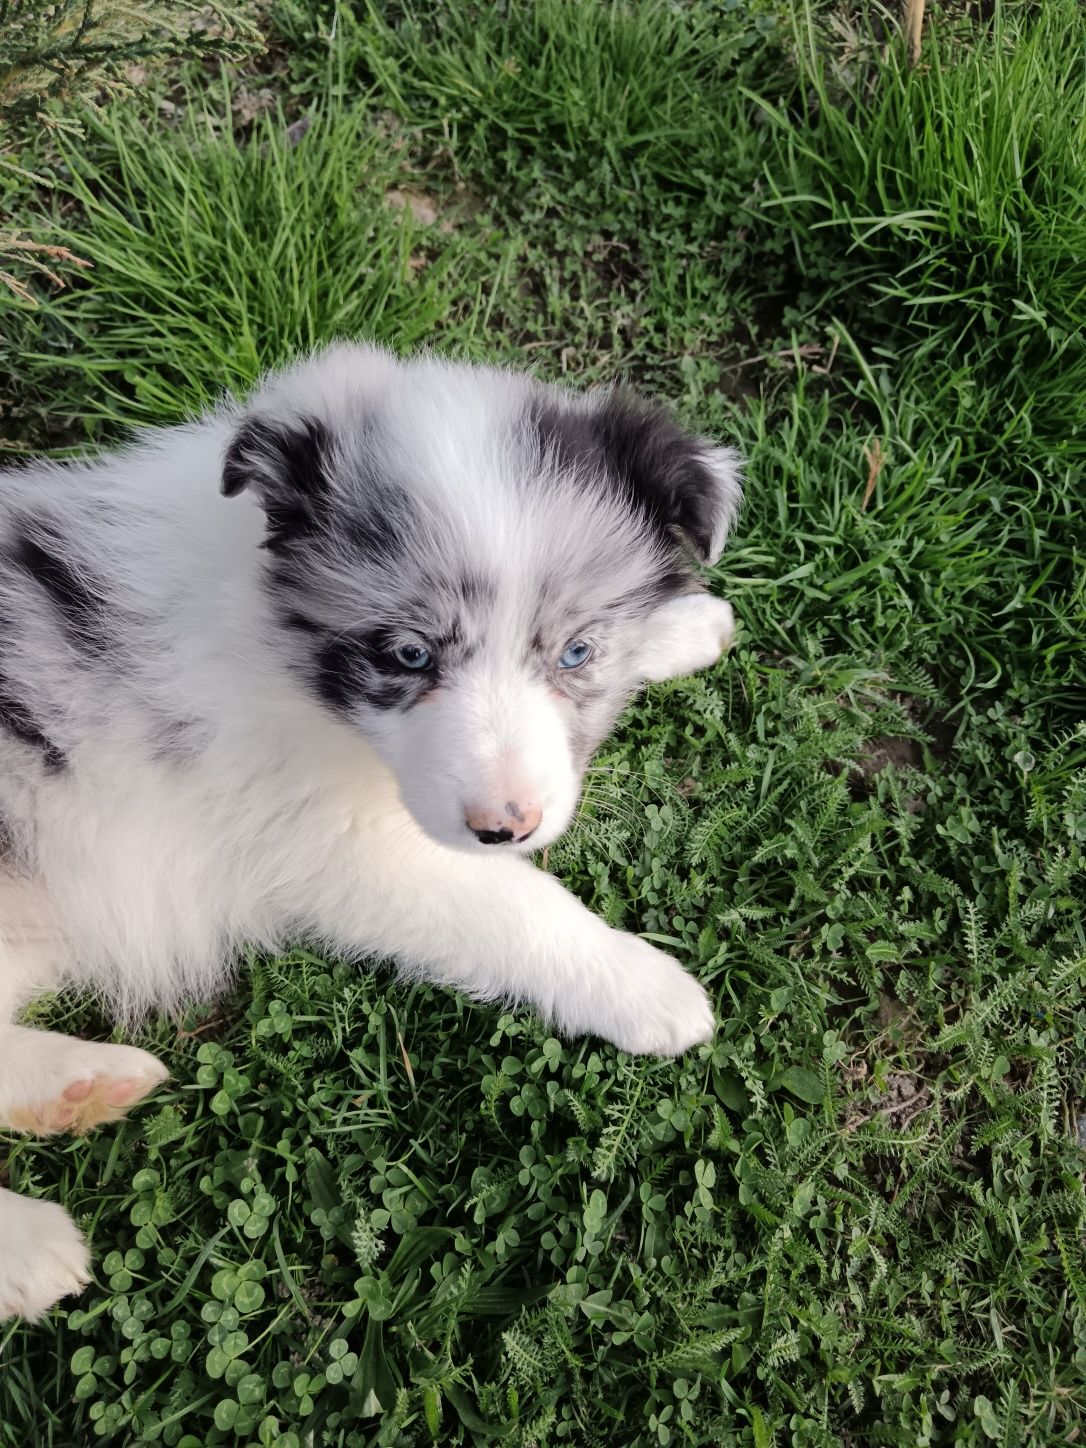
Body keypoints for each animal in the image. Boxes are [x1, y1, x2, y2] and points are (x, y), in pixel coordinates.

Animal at [0, 344, 747, 1320]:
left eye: (576, 651)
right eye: (407, 655)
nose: (506, 826)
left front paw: (686, 623)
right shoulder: (335, 842)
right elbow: (514, 907)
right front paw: (644, 986)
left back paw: (81, 1087)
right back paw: (30, 1247)